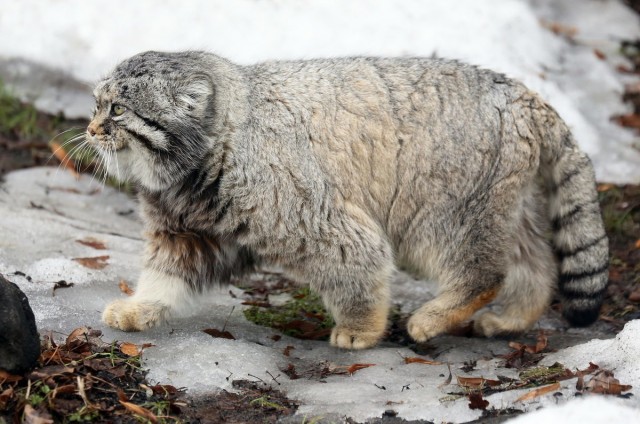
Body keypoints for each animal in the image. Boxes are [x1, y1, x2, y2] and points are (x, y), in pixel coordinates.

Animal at [87, 50, 608, 348]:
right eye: (97, 104)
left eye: (118, 109)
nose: (89, 131)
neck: (217, 146)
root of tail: (522, 94)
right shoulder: (189, 230)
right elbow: (167, 275)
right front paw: (140, 308)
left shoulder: (317, 220)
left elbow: (357, 264)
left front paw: (362, 328)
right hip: (503, 198)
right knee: (535, 265)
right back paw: (511, 319)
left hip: (444, 208)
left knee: (486, 270)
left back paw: (431, 319)